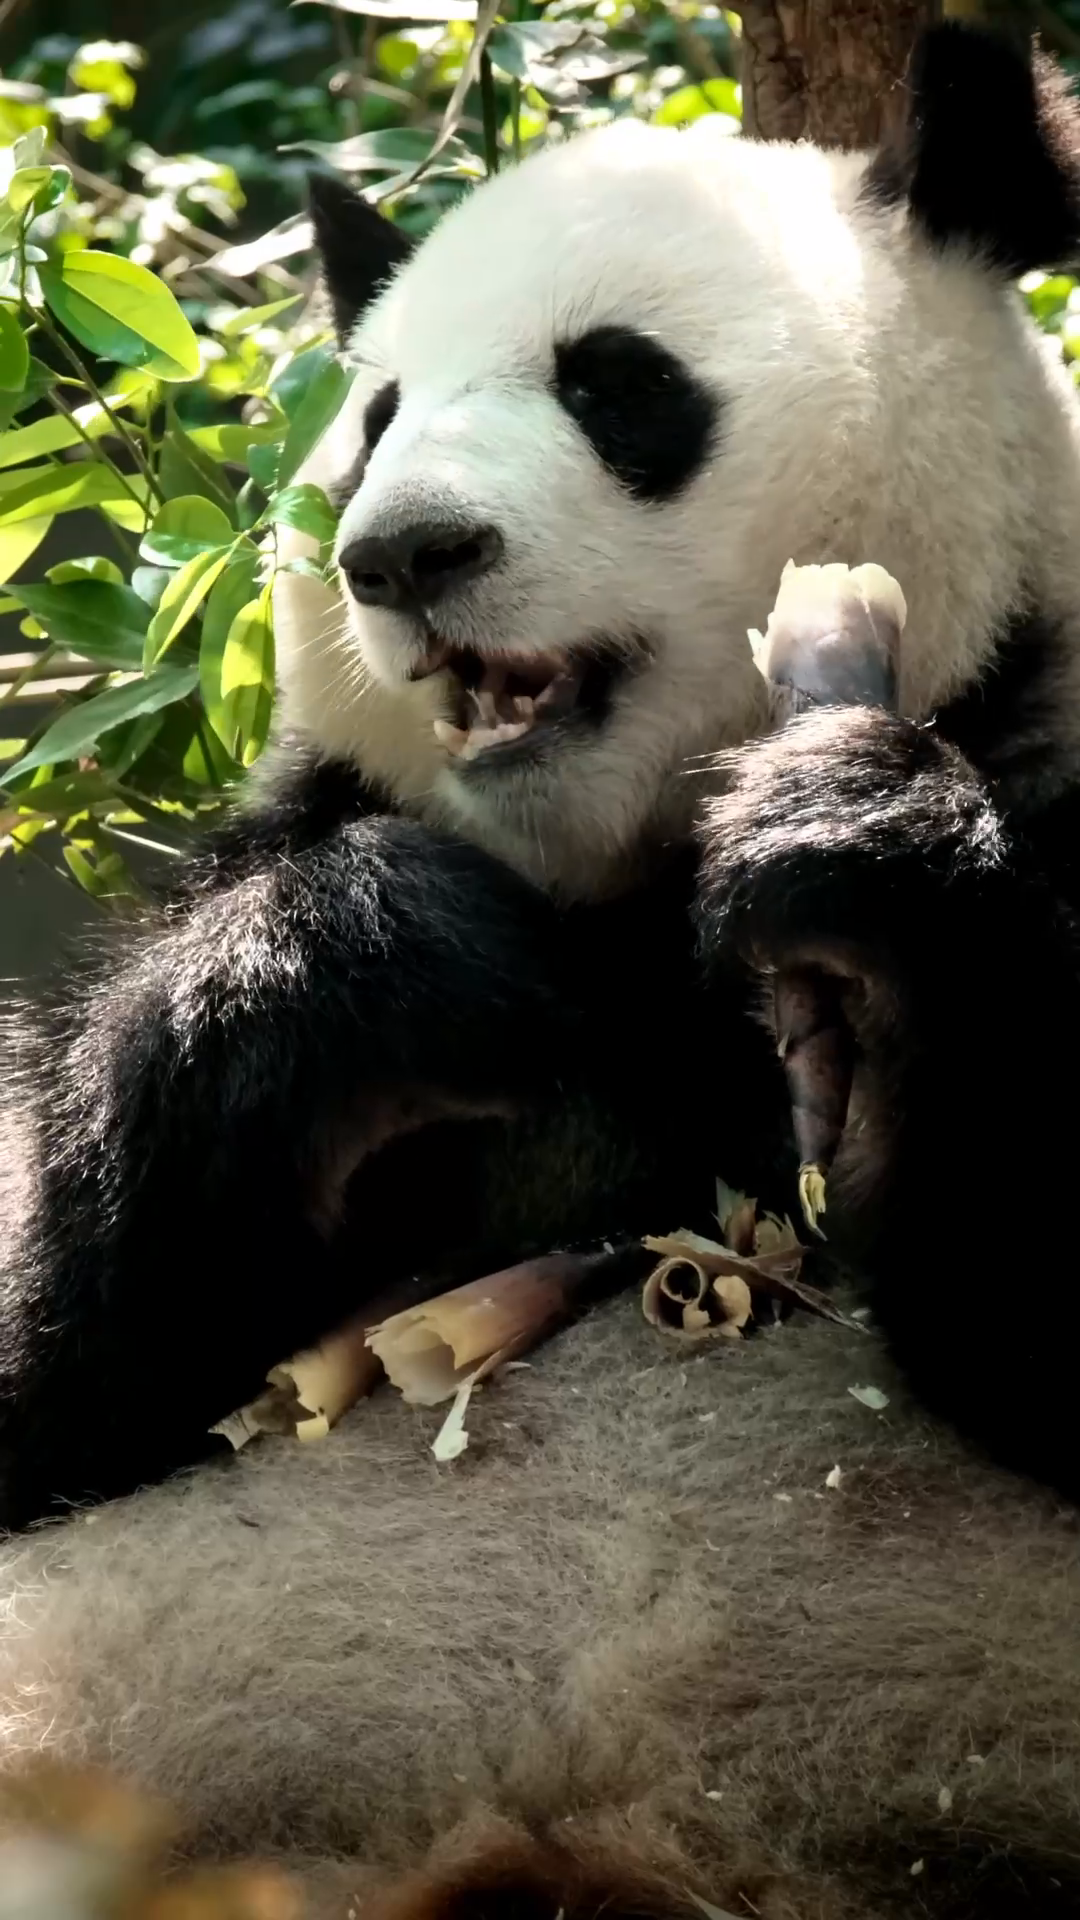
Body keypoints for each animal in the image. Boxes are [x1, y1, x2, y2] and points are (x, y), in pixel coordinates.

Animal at [3, 19, 1080, 1917]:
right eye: (372, 420)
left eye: (617, 384)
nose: (403, 555)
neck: (620, 888)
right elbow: (54, 1373)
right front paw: (397, 951)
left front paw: (853, 854)